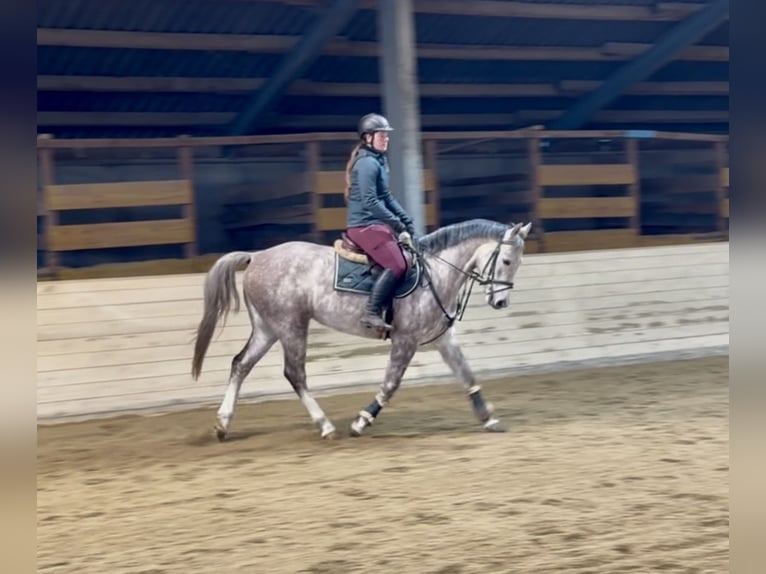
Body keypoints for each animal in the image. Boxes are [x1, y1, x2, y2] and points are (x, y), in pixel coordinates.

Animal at [191, 218, 532, 441]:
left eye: (516, 263)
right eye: (505, 260)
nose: (500, 301)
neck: (436, 272)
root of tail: (257, 256)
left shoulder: (444, 340)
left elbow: (467, 376)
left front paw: (489, 418)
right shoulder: (405, 340)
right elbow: (391, 384)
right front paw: (361, 421)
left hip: (268, 328)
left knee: (241, 364)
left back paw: (223, 424)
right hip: (291, 325)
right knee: (294, 373)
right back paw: (325, 425)